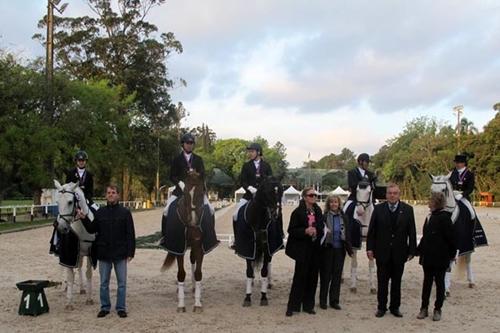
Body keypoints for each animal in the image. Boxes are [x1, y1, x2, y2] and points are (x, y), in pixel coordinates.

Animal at [51, 179, 96, 308]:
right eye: (57, 202)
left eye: (70, 202)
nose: (62, 228)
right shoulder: (69, 253)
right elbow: (70, 276)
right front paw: (69, 302)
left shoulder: (90, 253)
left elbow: (88, 273)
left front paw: (89, 299)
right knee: (63, 268)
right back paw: (64, 287)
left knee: (79, 267)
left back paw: (82, 289)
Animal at [161, 171, 218, 312]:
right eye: (185, 193)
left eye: (201, 192)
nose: (192, 220)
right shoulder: (178, 246)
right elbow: (181, 273)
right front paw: (181, 305)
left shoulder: (199, 246)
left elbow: (198, 273)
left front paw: (197, 303)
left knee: (193, 260)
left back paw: (194, 288)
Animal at [232, 176, 284, 306]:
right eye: (267, 192)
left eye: (281, 191)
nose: (275, 214)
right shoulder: (248, 250)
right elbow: (249, 272)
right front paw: (247, 297)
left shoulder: (267, 249)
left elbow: (264, 271)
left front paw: (264, 296)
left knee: (269, 264)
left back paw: (268, 283)